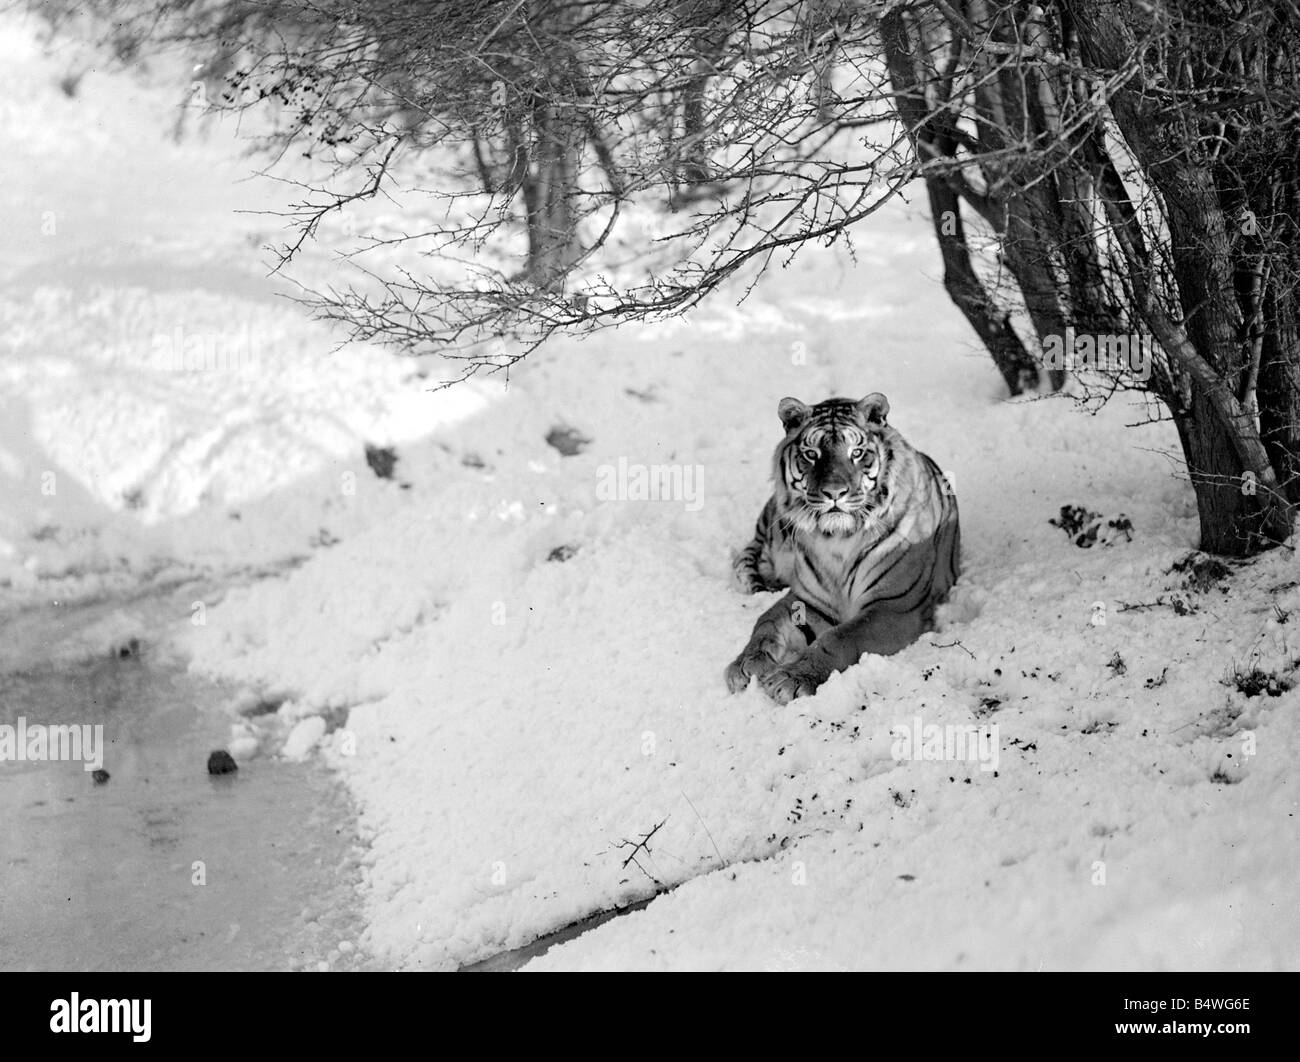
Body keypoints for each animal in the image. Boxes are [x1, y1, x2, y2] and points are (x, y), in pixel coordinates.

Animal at [728, 392, 961, 701]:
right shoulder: (809, 600)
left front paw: (793, 677)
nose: (834, 493)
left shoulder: (894, 607)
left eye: (857, 452)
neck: (837, 538)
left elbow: (839, 637)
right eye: (811, 454)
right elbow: (767, 620)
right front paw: (747, 663)